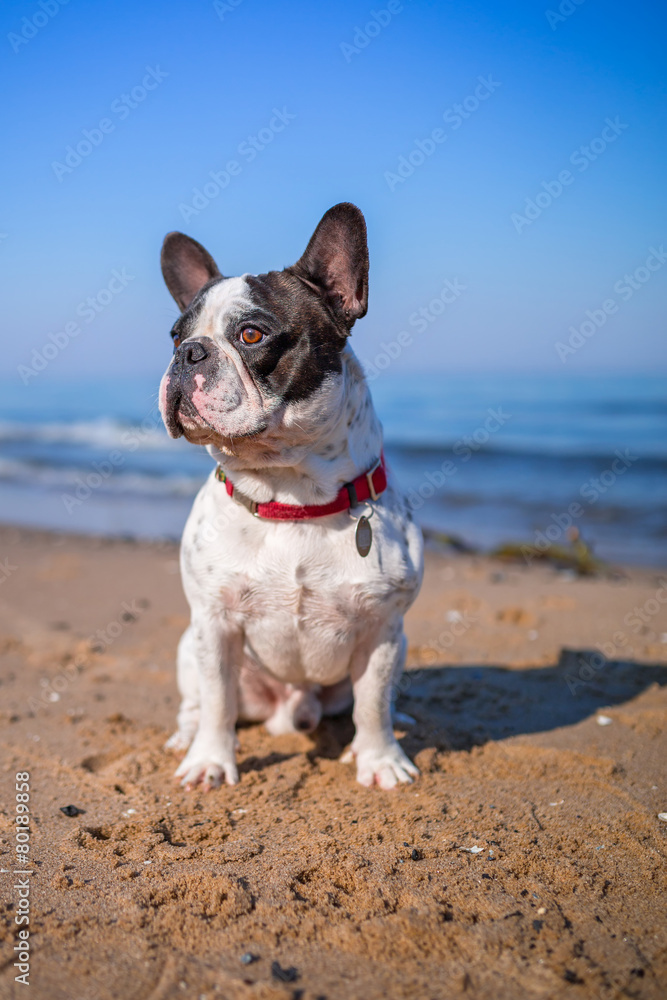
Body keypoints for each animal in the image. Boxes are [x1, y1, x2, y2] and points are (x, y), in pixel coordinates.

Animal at [158, 207, 422, 792]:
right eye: (173, 336)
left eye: (251, 334)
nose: (188, 354)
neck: (292, 498)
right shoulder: (214, 626)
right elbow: (217, 701)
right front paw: (211, 761)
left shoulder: (383, 632)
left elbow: (373, 705)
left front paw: (380, 760)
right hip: (188, 644)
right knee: (197, 703)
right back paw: (185, 738)